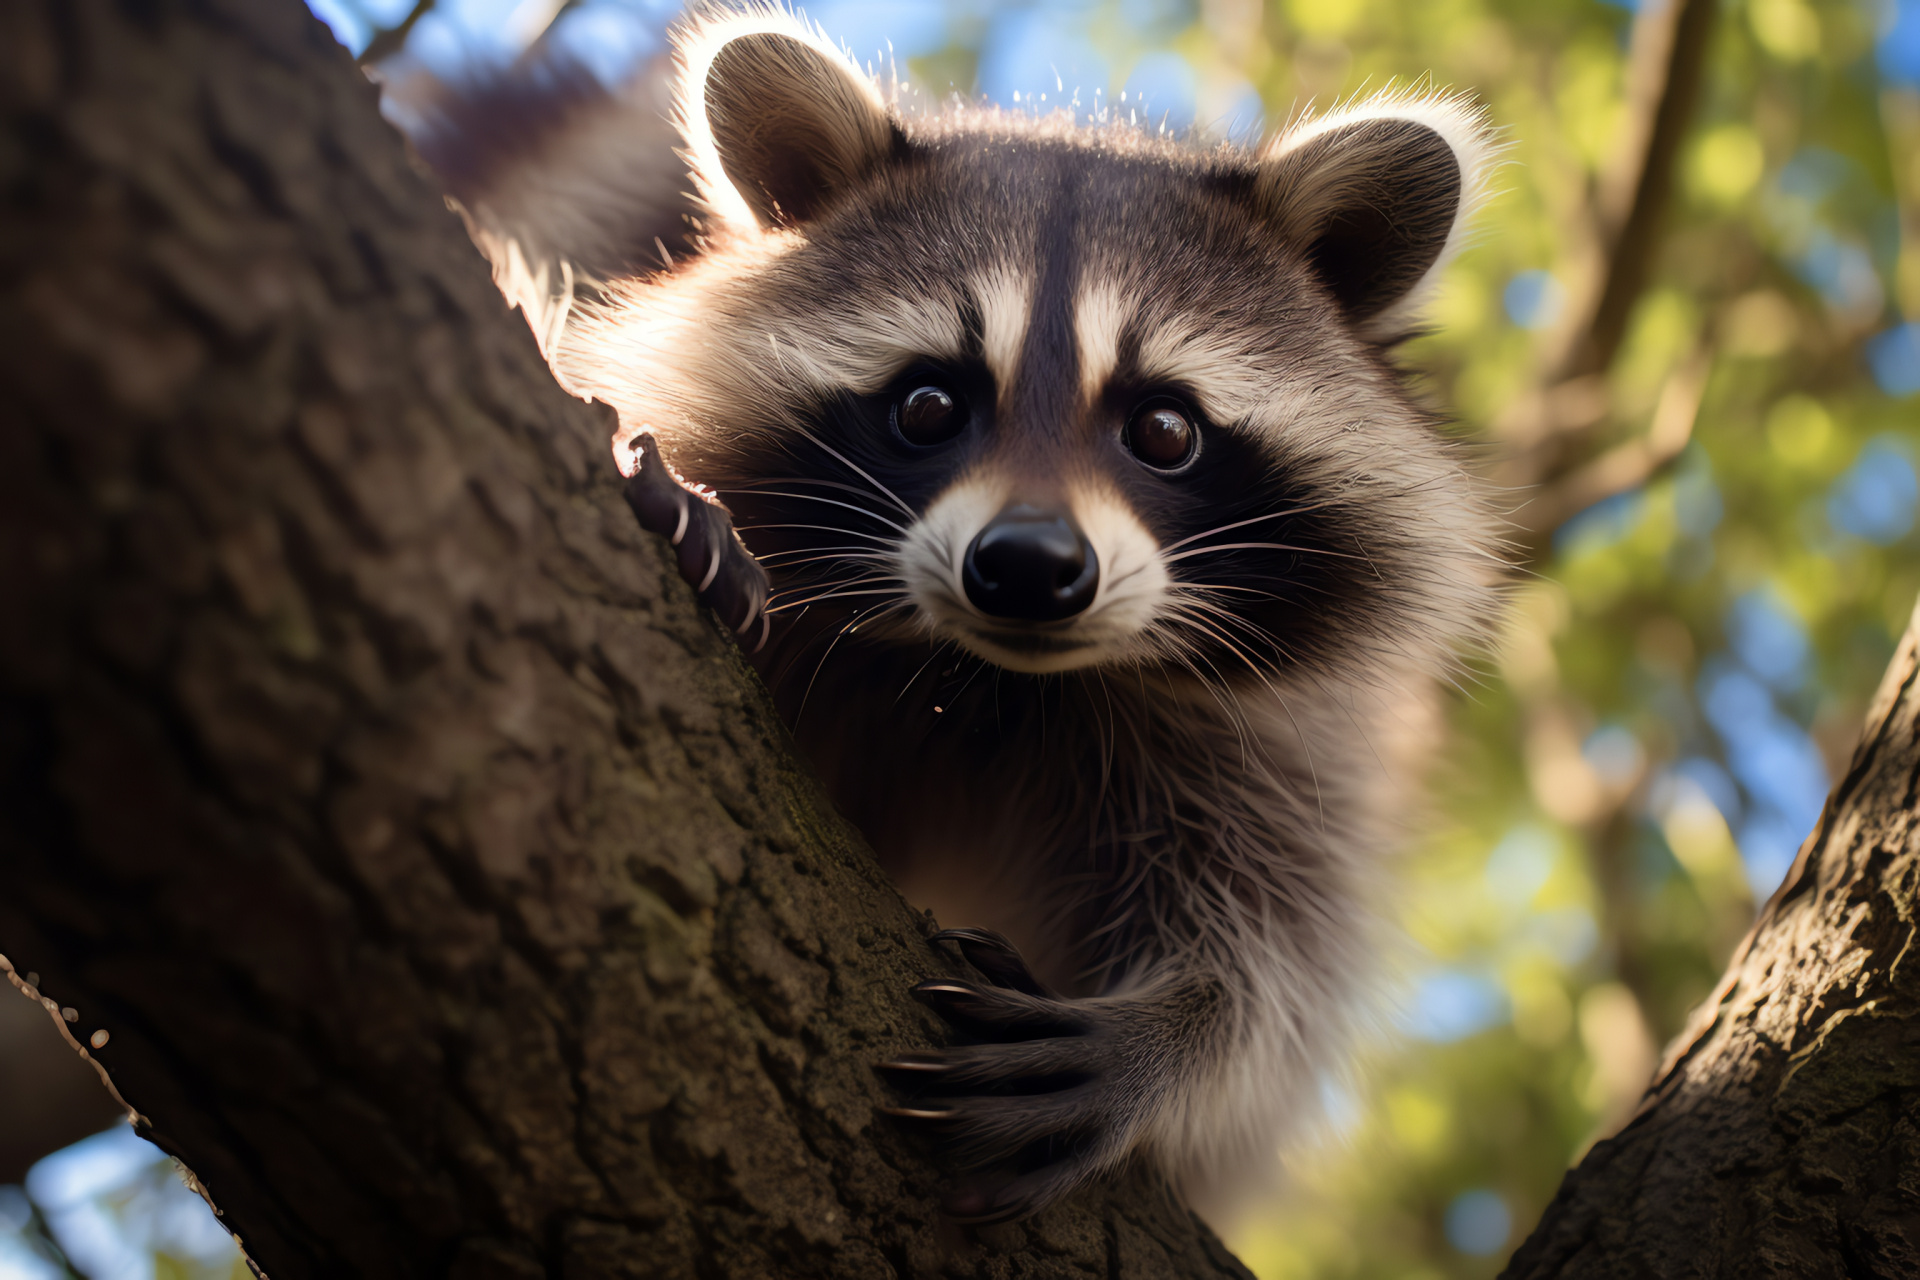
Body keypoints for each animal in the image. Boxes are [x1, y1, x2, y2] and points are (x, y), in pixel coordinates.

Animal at [412, 5, 1505, 1228]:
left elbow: (1284, 944)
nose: (1028, 567)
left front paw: (1181, 1030)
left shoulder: (1278, 734)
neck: (970, 669)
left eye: (1165, 429)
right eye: (930, 404)